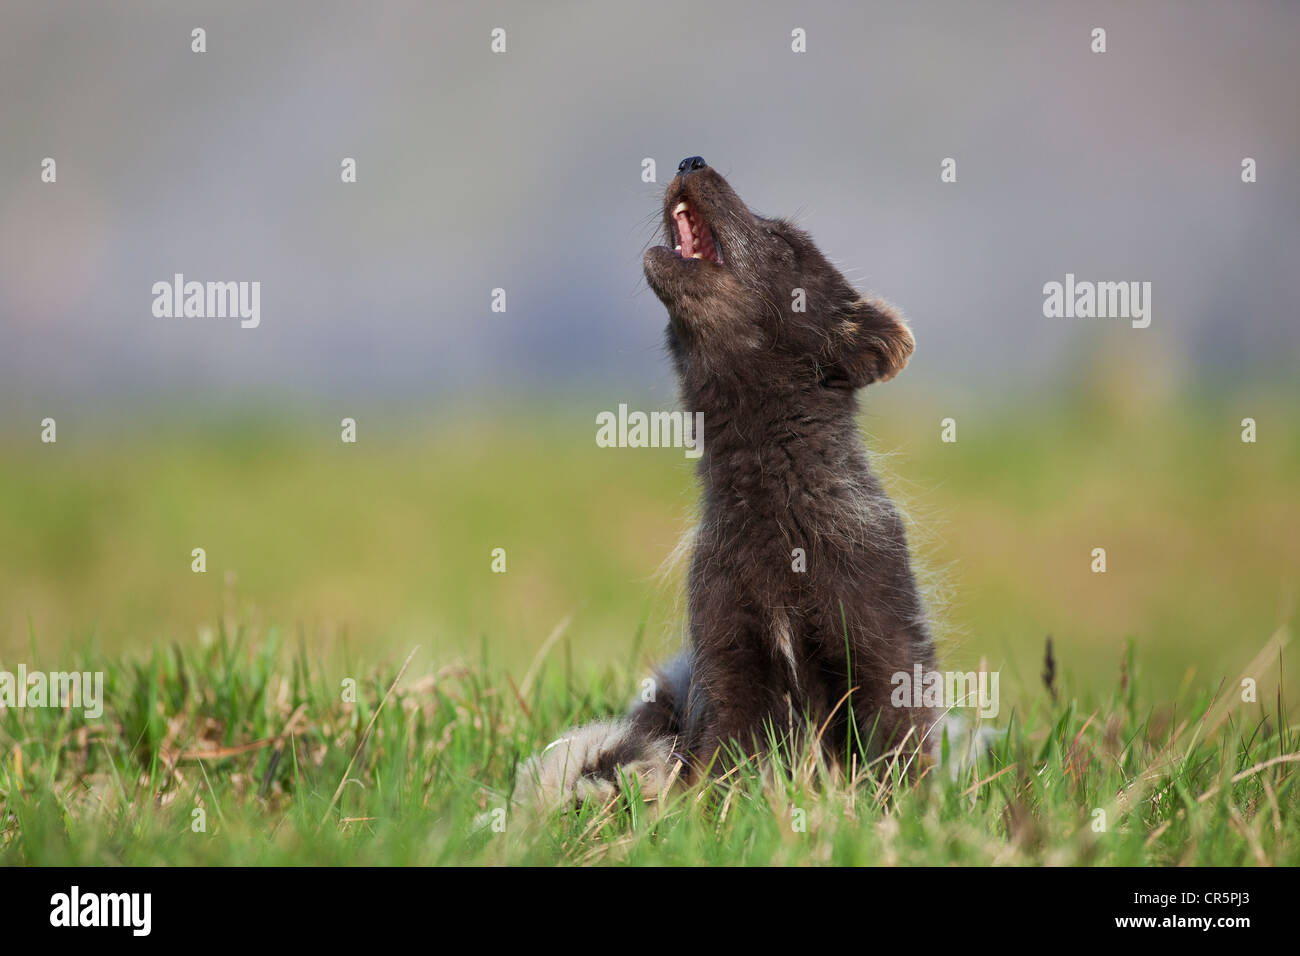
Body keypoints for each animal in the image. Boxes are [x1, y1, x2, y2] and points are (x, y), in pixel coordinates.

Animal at [522, 158, 941, 806]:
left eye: (788, 242)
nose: (690, 161)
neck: (780, 520)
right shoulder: (725, 649)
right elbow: (723, 761)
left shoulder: (880, 634)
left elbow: (895, 743)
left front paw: (899, 812)